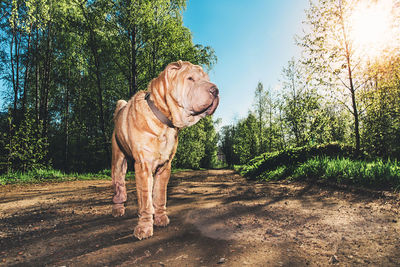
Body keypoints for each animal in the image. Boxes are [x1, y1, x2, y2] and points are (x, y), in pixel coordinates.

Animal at [111, 60, 220, 241]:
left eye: (207, 79)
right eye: (190, 79)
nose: (215, 90)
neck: (163, 120)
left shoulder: (164, 167)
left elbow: (159, 195)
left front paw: (160, 218)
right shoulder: (143, 166)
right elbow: (145, 200)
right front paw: (144, 227)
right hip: (118, 162)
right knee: (119, 186)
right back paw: (118, 209)